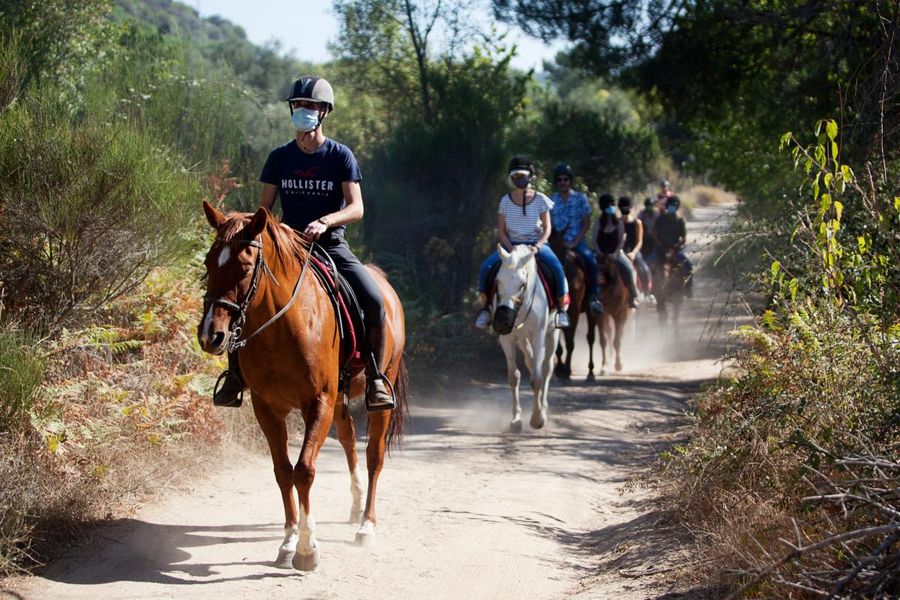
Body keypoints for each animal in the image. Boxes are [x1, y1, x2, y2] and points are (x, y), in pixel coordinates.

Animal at [199, 203, 410, 572]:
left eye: (244, 268)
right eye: (209, 263)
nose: (210, 335)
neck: (282, 327)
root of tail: (384, 283)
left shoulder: (318, 401)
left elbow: (305, 471)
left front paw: (307, 549)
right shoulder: (267, 408)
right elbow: (283, 471)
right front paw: (288, 540)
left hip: (379, 390)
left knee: (374, 455)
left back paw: (366, 524)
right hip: (339, 400)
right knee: (348, 437)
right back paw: (355, 505)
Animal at [488, 244, 560, 432]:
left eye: (522, 284)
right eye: (498, 281)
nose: (503, 321)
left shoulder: (538, 336)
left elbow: (537, 378)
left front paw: (537, 419)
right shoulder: (507, 339)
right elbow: (514, 377)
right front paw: (516, 419)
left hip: (553, 333)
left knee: (547, 368)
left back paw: (544, 408)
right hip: (522, 339)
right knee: (531, 362)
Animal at [548, 230, 596, 380]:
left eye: (564, 249)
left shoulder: (574, 311)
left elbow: (570, 342)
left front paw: (567, 371)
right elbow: (558, 345)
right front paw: (560, 369)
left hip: (592, 314)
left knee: (591, 338)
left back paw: (590, 372)